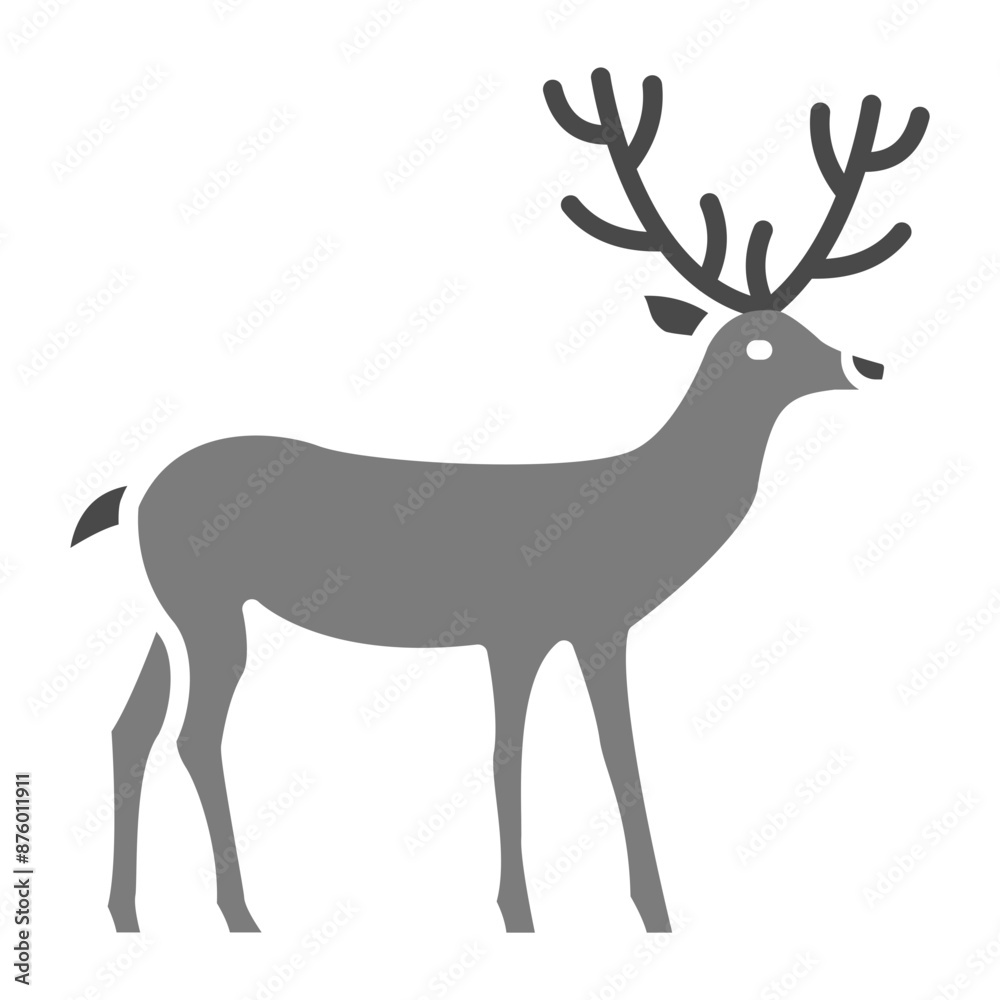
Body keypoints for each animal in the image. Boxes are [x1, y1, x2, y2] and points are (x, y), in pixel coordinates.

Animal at [71, 68, 928, 935]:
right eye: (758, 344)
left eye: (805, 323)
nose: (865, 365)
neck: (637, 500)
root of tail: (128, 494)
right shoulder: (544, 626)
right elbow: (547, 753)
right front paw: (556, 911)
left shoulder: (561, 633)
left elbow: (576, 751)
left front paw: (613, 909)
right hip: (208, 609)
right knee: (193, 735)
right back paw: (240, 912)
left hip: (164, 619)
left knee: (128, 727)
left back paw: (126, 912)